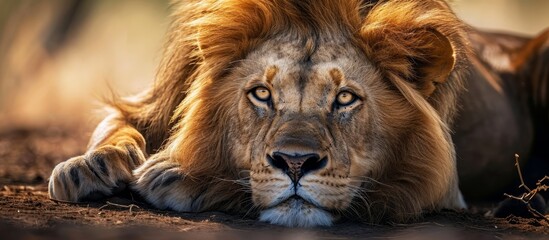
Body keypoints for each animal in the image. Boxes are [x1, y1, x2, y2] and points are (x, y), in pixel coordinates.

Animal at [48, 0, 548, 227]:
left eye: (345, 98)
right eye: (262, 94)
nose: (295, 163)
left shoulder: (444, 185)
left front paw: (180, 175)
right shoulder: (150, 103)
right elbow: (118, 128)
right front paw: (86, 167)